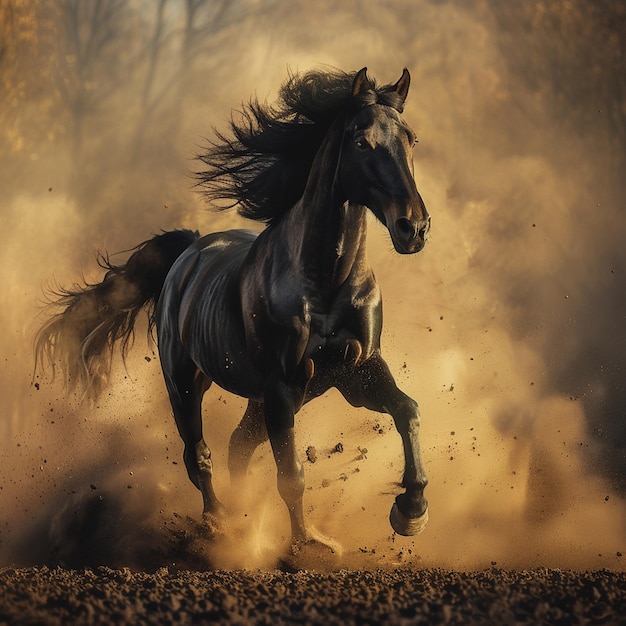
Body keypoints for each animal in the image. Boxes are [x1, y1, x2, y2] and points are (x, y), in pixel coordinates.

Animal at [35, 66, 428, 548]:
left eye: (410, 138)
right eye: (360, 141)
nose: (414, 227)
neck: (327, 285)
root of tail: (188, 251)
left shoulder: (358, 371)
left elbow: (407, 410)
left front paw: (411, 511)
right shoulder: (282, 386)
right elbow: (291, 474)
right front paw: (306, 547)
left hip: (265, 400)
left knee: (236, 446)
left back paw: (241, 516)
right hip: (187, 384)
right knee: (199, 454)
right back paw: (220, 522)